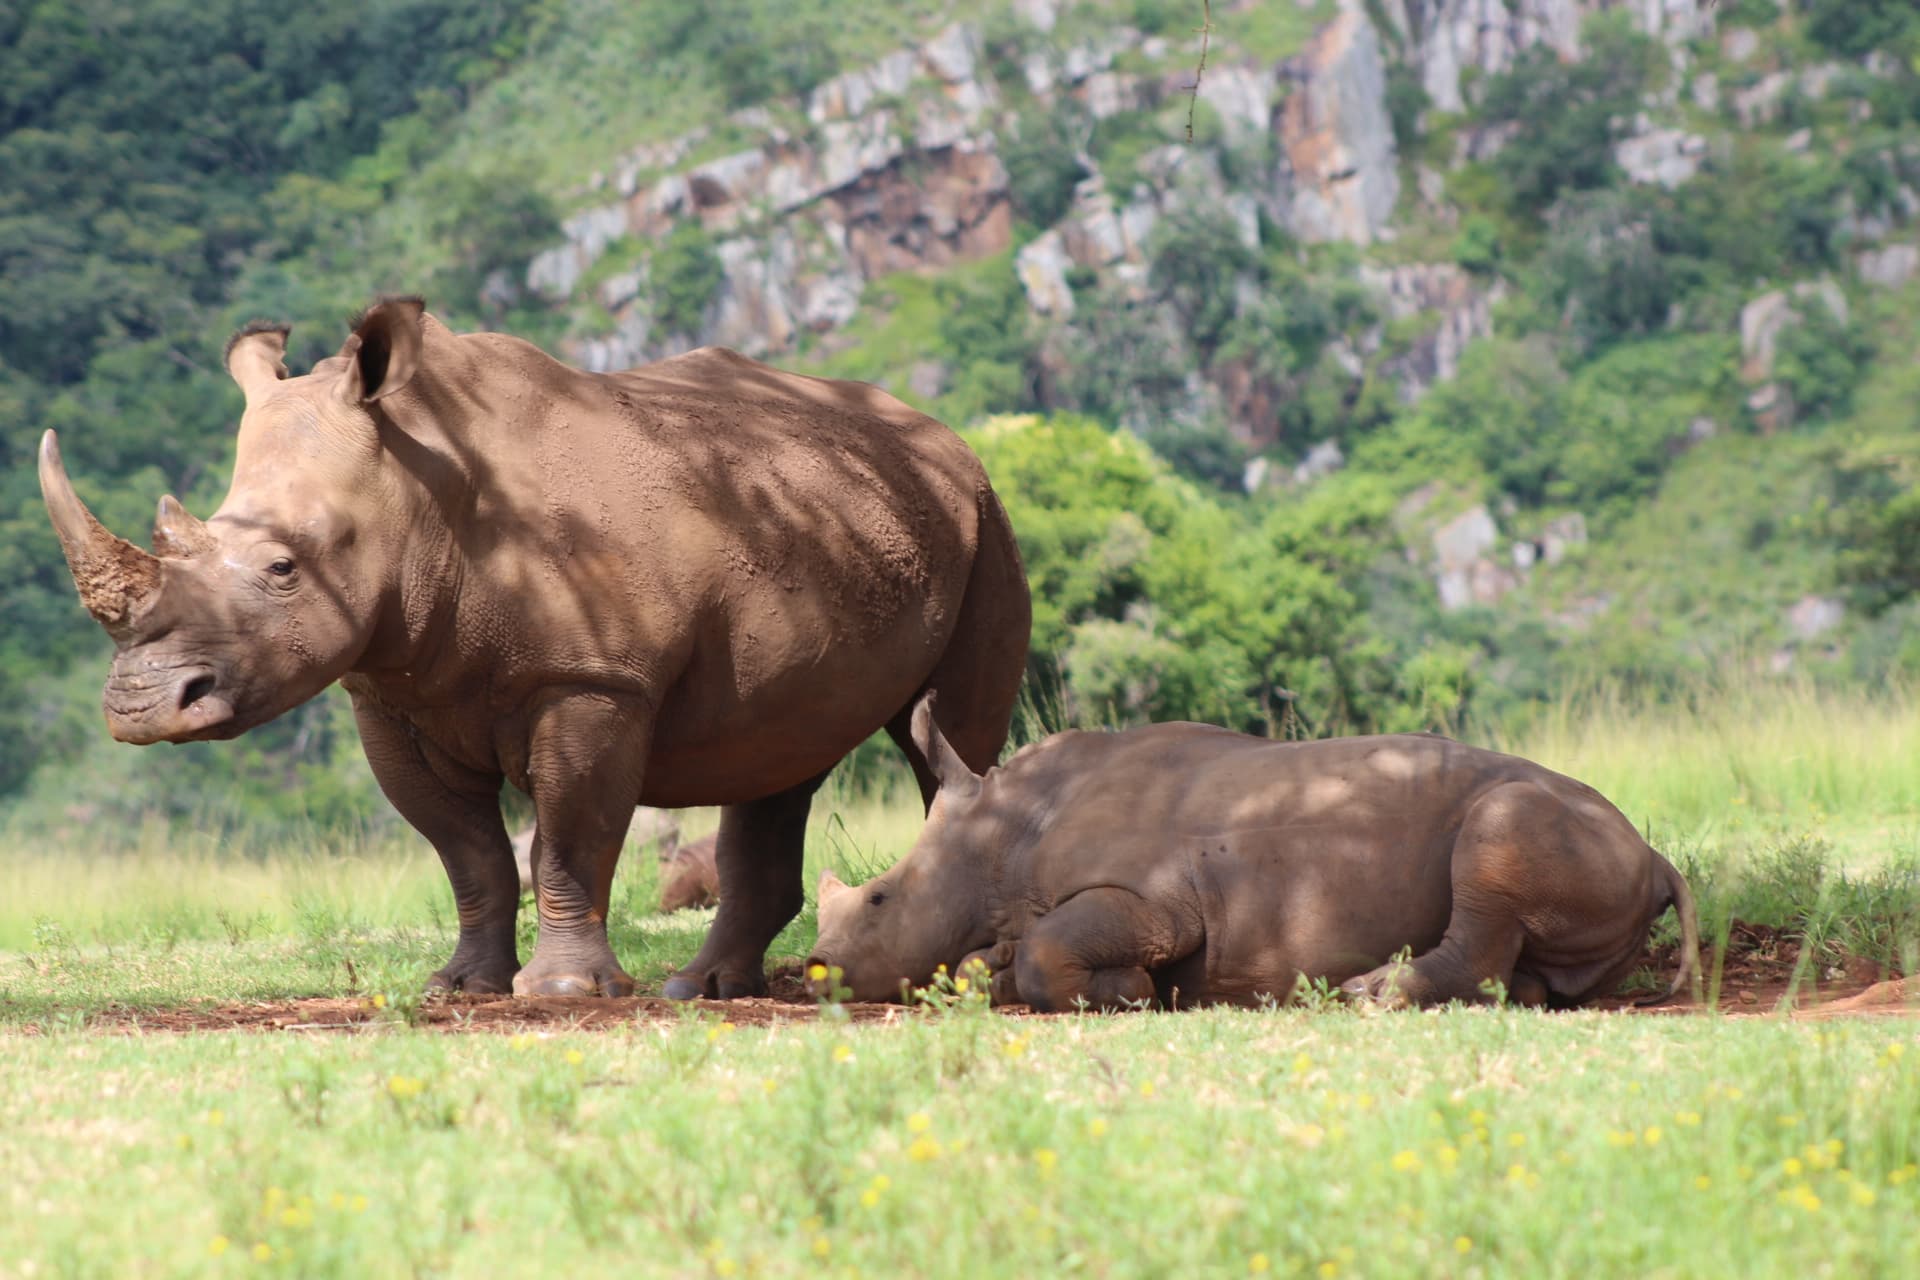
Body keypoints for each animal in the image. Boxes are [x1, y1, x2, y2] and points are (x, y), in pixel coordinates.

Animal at [39, 297, 1030, 1000]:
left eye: (284, 568)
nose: (138, 709)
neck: (420, 489)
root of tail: (941, 434)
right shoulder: (389, 692)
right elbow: (469, 852)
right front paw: (458, 989)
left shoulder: (593, 682)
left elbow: (569, 836)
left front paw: (563, 994)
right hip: (835, 514)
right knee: (779, 748)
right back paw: (701, 990)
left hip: (987, 521)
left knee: (949, 738)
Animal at [810, 699, 1700, 1011]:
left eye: (881, 899)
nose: (818, 972)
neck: (1005, 833)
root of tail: (1656, 859)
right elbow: (1002, 955)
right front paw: (987, 974)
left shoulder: (1160, 901)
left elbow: (1048, 952)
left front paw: (1134, 993)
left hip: (1554, 819)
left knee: (1498, 838)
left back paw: (1365, 995)